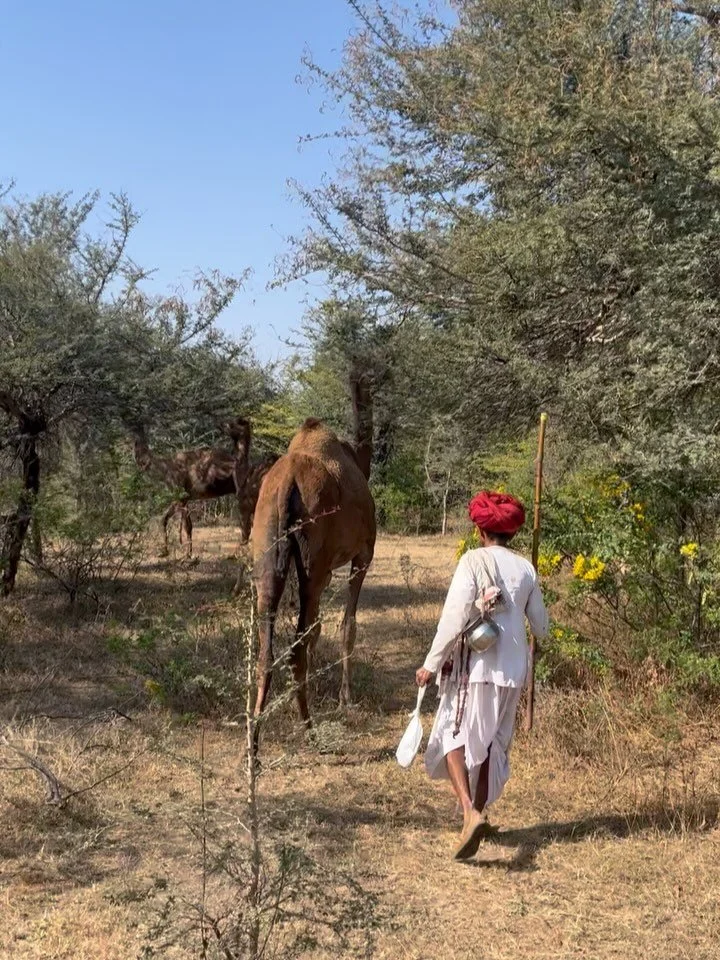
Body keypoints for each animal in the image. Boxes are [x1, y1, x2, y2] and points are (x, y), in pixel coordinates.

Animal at [130, 417, 253, 556]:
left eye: (233, 424)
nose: (220, 424)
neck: (164, 469)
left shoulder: (181, 497)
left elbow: (186, 526)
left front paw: (187, 554)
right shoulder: (183, 498)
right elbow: (168, 520)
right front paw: (166, 551)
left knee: (247, 523)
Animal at [250, 372, 376, 753]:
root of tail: (287, 485)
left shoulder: (327, 569)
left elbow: (318, 628)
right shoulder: (363, 554)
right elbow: (347, 626)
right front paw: (345, 699)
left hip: (268, 554)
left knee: (268, 650)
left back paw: (254, 745)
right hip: (312, 563)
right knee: (296, 646)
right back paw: (310, 729)